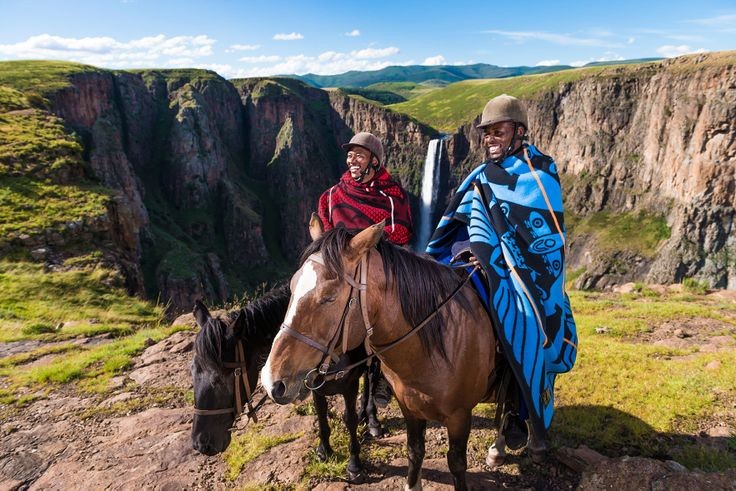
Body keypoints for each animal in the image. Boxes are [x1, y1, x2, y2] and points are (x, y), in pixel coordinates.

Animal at [190, 286, 386, 482]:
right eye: (192, 371)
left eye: (221, 378)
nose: (201, 444)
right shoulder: (315, 386)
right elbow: (321, 415)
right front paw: (324, 451)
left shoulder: (349, 384)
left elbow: (349, 420)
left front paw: (354, 466)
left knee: (371, 377)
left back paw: (372, 420)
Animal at [264, 220, 500, 491]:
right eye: (291, 288)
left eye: (329, 297)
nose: (271, 382)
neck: (439, 342)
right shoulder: (410, 409)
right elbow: (414, 451)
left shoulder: (460, 416)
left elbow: (457, 464)